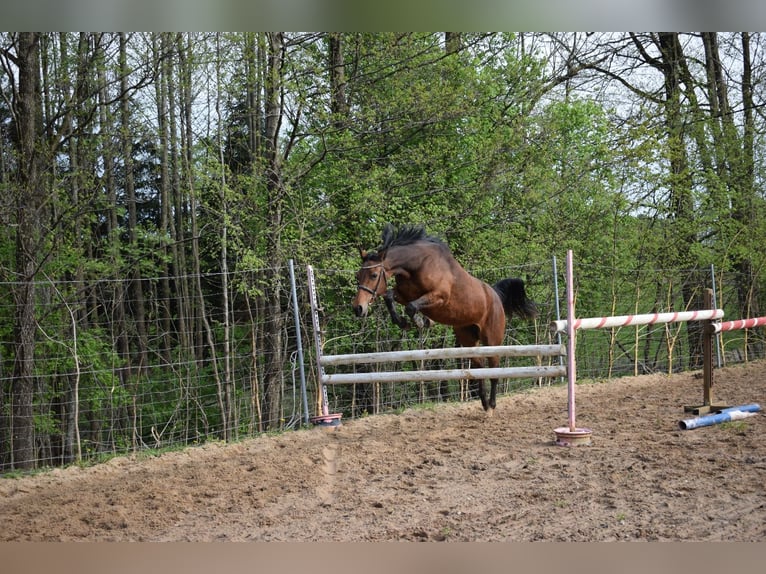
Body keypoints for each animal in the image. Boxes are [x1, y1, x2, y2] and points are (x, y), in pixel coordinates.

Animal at [352, 223, 536, 416]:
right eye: (358, 276)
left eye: (373, 275)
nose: (358, 308)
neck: (417, 265)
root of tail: (495, 296)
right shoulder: (404, 294)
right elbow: (389, 296)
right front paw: (403, 322)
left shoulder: (439, 297)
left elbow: (411, 306)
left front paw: (421, 322)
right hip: (469, 341)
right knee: (479, 369)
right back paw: (484, 404)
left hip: (492, 340)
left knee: (494, 370)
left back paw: (491, 406)